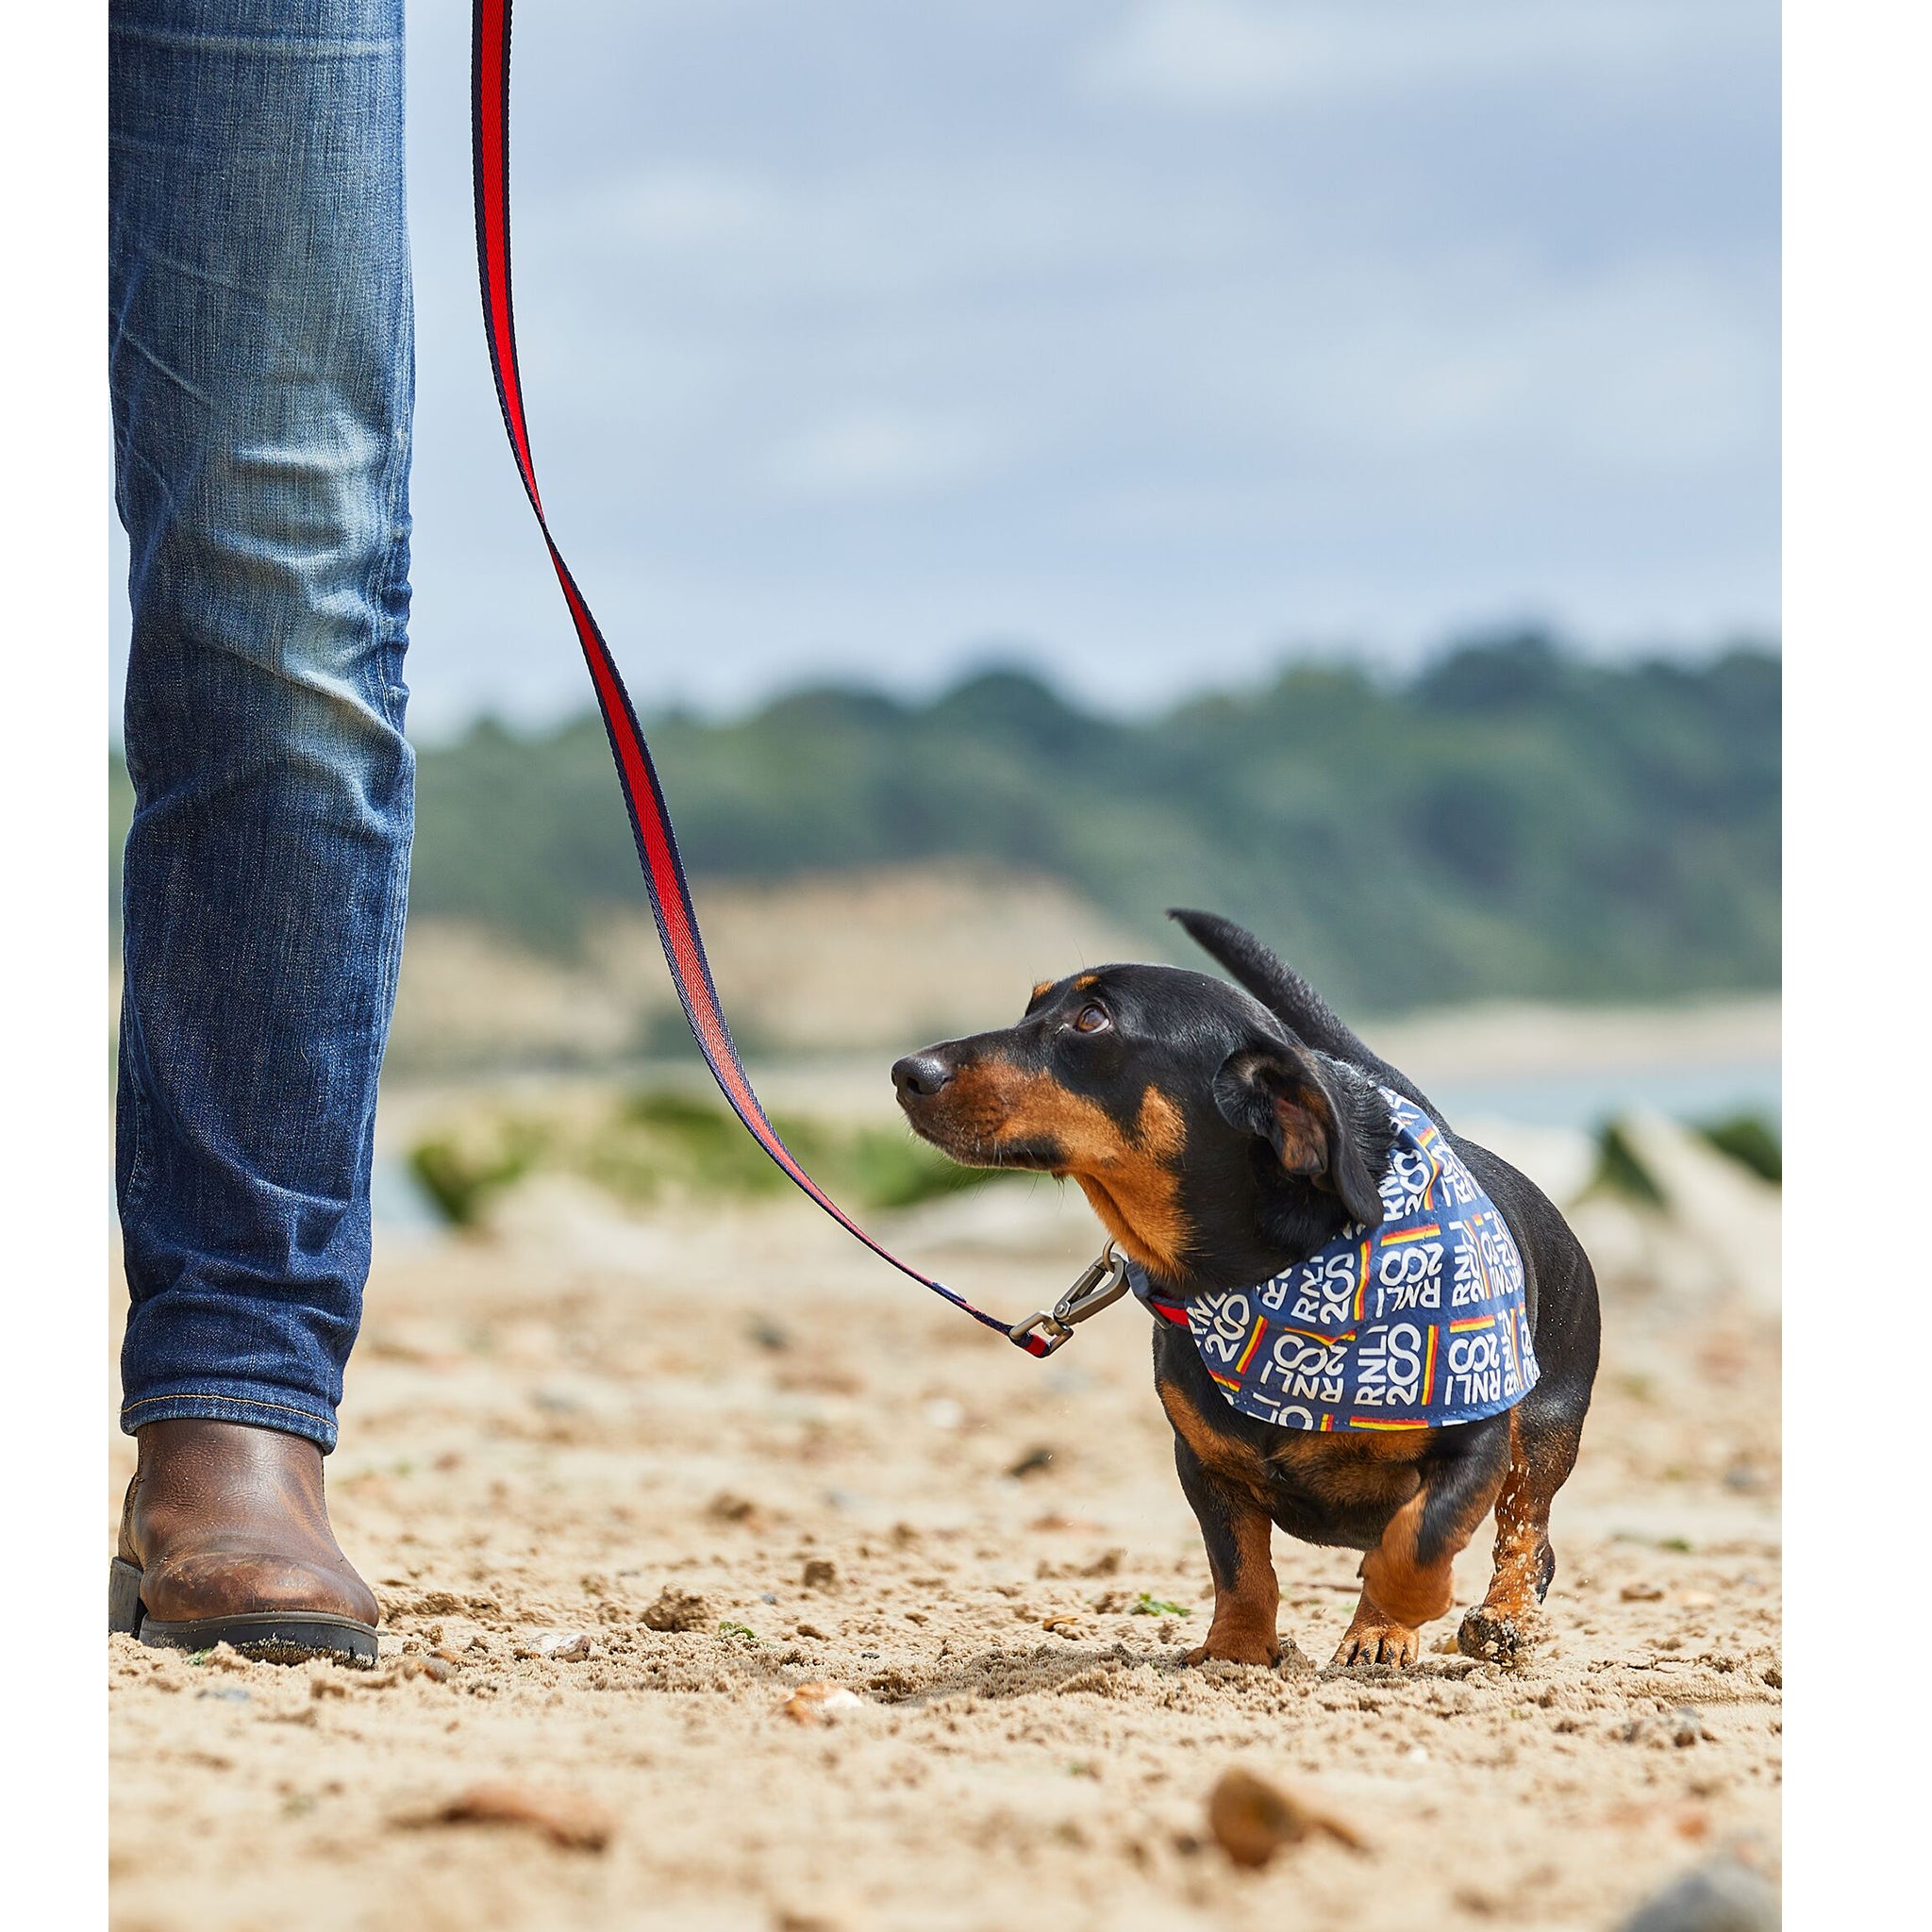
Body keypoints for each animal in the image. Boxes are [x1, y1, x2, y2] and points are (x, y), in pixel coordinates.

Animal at [889, 911, 1599, 1669]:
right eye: (1031, 1007)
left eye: (1091, 1019)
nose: (906, 1072)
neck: (1257, 1285)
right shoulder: (1204, 1466)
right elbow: (1240, 1567)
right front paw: (1235, 1648)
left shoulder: (1477, 1437)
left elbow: (1419, 1536)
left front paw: (1388, 1620)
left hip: (1546, 1429)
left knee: (1528, 1533)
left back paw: (1504, 1618)